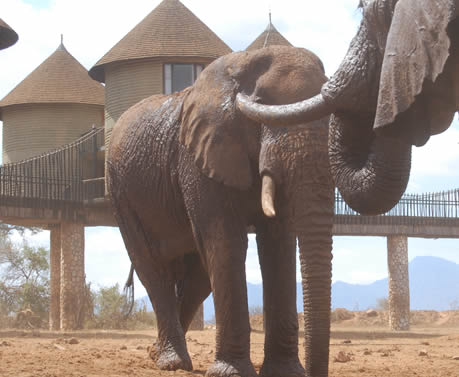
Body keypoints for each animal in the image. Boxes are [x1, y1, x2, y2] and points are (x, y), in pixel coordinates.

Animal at [109, 44, 336, 376]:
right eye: (260, 111)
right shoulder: (199, 156)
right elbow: (226, 241)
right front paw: (230, 372)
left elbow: (278, 244)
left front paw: (284, 372)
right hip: (121, 193)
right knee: (152, 268)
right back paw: (171, 362)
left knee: (197, 277)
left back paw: (156, 353)